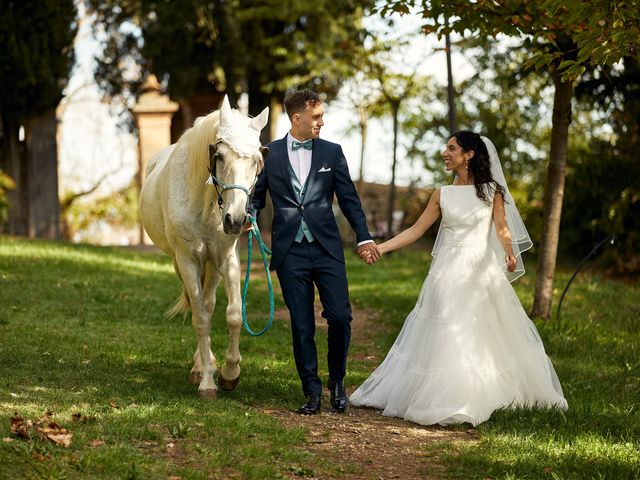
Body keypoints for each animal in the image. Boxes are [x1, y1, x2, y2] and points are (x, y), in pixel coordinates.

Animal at [139, 95, 268, 400]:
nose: (236, 220)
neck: (207, 204)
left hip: (212, 266)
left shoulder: (227, 259)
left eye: (257, 161)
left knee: (209, 303)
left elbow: (233, 315)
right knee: (200, 308)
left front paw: (230, 373)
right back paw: (201, 369)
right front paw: (208, 382)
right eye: (219, 156)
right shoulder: (187, 261)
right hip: (182, 263)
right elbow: (200, 320)